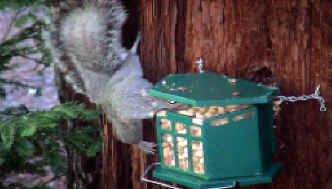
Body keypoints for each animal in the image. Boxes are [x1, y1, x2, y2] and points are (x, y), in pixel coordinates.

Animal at [44, 0, 180, 153]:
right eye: (172, 101)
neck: (147, 99)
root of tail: (103, 94)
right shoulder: (134, 106)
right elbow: (143, 111)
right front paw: (157, 112)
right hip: (127, 119)